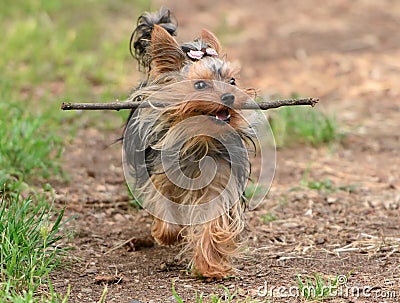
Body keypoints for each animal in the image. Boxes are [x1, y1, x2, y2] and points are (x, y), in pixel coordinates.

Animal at [122, 7, 260, 280]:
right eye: (200, 84)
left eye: (232, 82)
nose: (229, 96)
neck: (200, 141)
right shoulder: (160, 172)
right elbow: (163, 200)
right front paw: (167, 233)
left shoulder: (220, 179)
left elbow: (213, 219)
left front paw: (210, 267)